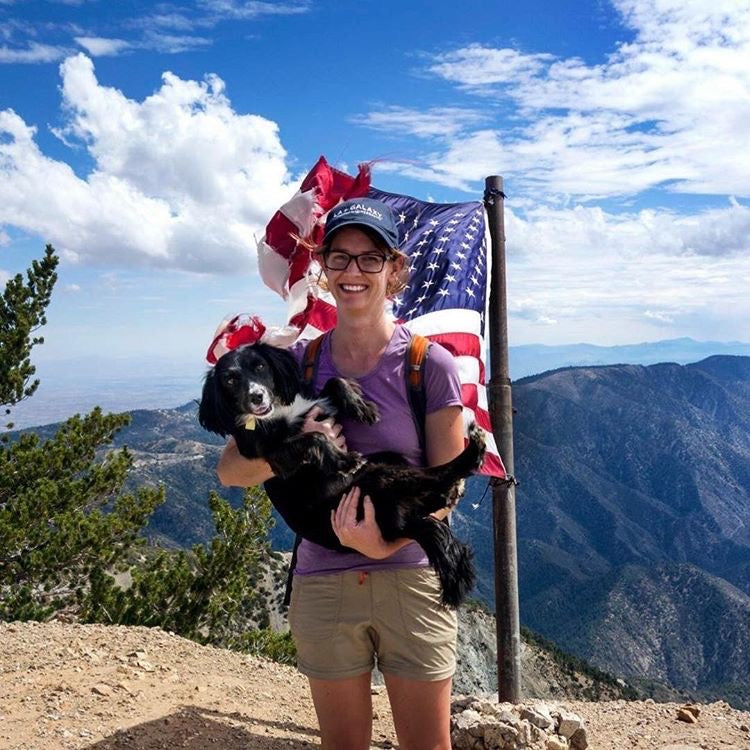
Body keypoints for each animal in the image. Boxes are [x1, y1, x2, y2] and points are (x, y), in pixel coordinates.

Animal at [200, 344, 484, 608]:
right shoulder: (274, 454)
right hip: (377, 481)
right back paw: (471, 454)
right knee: (431, 481)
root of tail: (400, 525)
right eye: (230, 380)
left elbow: (335, 382)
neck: (278, 411)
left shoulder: (314, 405)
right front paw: (344, 460)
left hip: (392, 461)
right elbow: (314, 436)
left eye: (259, 366)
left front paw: (361, 407)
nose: (256, 397)